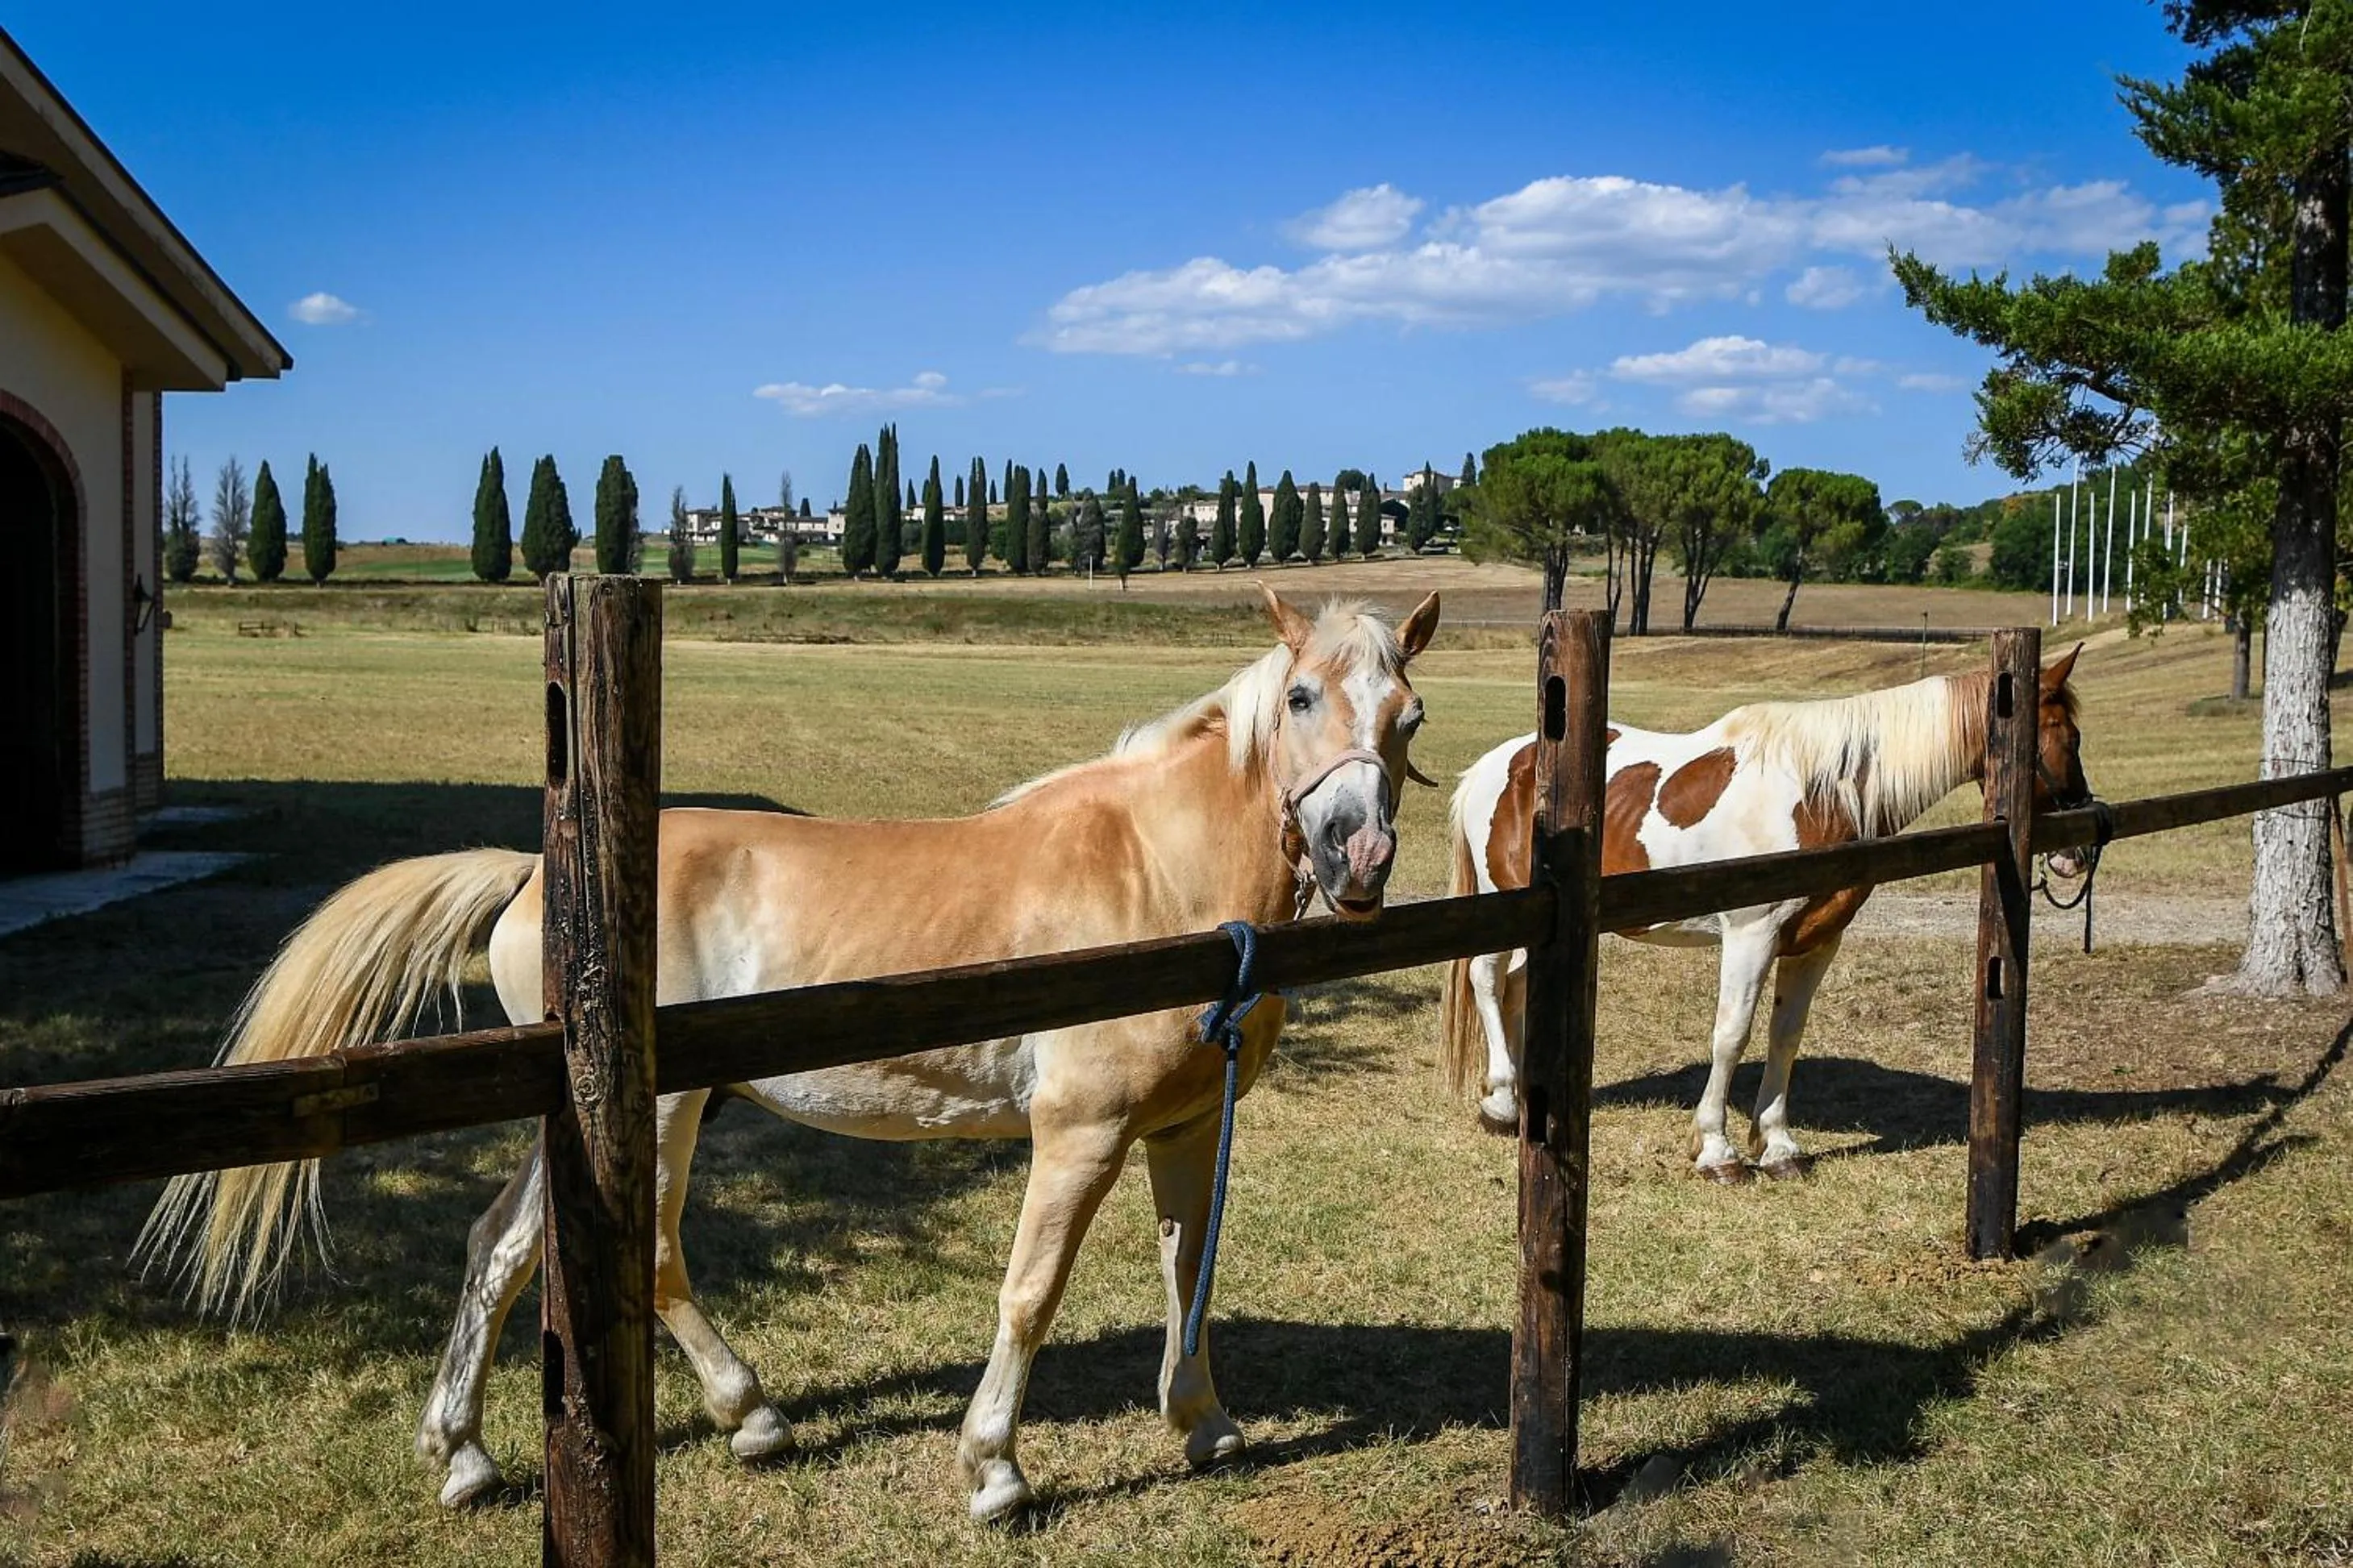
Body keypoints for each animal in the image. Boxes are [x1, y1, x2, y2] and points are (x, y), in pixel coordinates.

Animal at [138, 586, 1441, 1523]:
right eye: (1305, 696)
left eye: (1408, 716)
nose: (1360, 854)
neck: (1151, 880)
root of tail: (531, 877)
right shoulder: (1076, 1131)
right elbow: (1029, 1292)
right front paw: (994, 1471)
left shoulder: (1184, 1123)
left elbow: (1188, 1270)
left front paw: (1203, 1424)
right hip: (658, 1113)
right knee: (648, 1255)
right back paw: (749, 1414)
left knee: (499, 1246)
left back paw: (462, 1454)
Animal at [1438, 647, 2089, 1180]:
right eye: (2068, 735)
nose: (2076, 850)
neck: (1822, 788)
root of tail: (1494, 765)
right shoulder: (1751, 934)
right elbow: (1732, 1034)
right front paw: (1717, 1150)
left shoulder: (1815, 941)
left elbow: (1785, 1035)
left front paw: (1777, 1145)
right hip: (1503, 902)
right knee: (1488, 981)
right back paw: (1502, 1101)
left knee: (1516, 987)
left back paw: (1522, 1097)